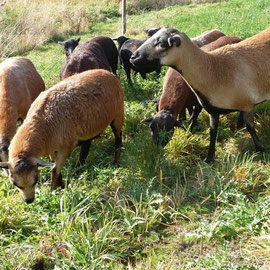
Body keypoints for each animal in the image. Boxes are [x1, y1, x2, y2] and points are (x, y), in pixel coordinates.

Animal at [0, 69, 124, 202]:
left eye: (36, 180)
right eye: (15, 183)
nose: (29, 200)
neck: (43, 125)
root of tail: (108, 72)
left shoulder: (66, 148)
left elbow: (54, 170)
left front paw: (53, 192)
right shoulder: (52, 149)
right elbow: (55, 168)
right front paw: (61, 186)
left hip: (118, 114)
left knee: (118, 138)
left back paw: (116, 163)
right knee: (87, 143)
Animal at [131, 26, 270, 162]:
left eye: (161, 43)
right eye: (150, 128)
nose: (132, 57)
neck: (213, 70)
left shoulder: (247, 106)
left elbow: (250, 127)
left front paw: (260, 149)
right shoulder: (213, 111)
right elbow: (212, 132)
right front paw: (209, 158)